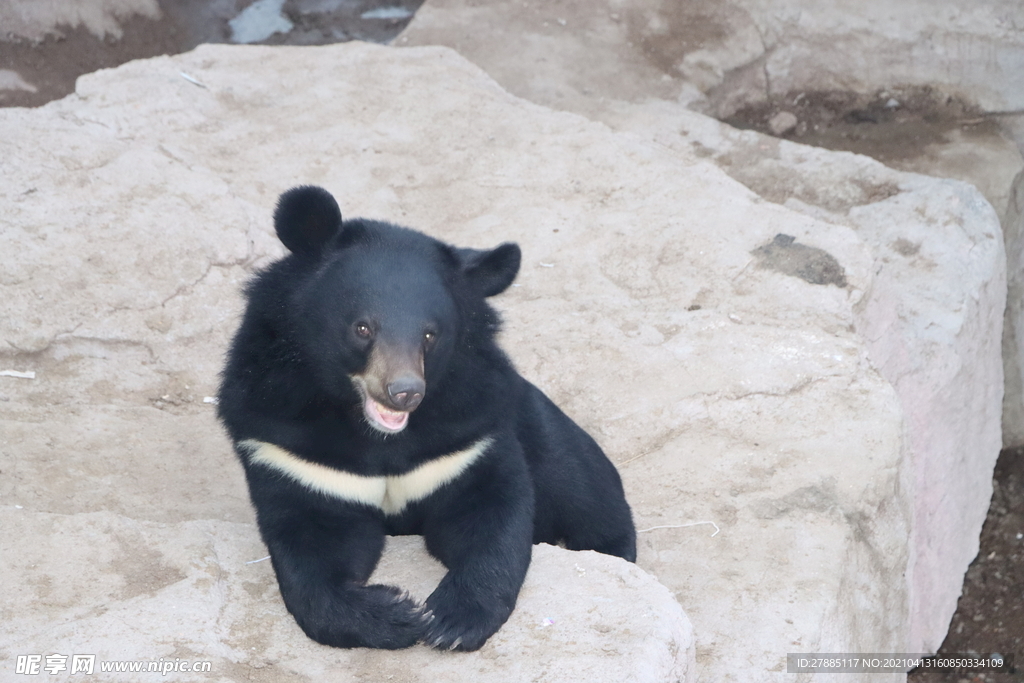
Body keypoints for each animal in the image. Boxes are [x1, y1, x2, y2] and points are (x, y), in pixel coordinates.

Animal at [218, 185, 630, 651]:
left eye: (430, 335)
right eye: (362, 328)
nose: (404, 393)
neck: (377, 437)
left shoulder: (470, 433)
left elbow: (492, 514)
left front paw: (449, 621)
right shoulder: (288, 446)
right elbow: (311, 543)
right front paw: (397, 615)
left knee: (583, 488)